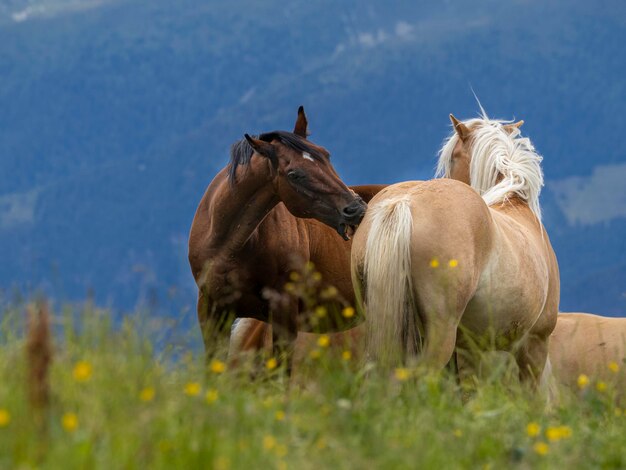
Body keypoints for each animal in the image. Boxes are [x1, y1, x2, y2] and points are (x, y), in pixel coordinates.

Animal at [188, 107, 376, 368]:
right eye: (295, 175)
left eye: (326, 156)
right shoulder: (211, 311)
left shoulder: (284, 313)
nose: (355, 209)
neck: (228, 247)